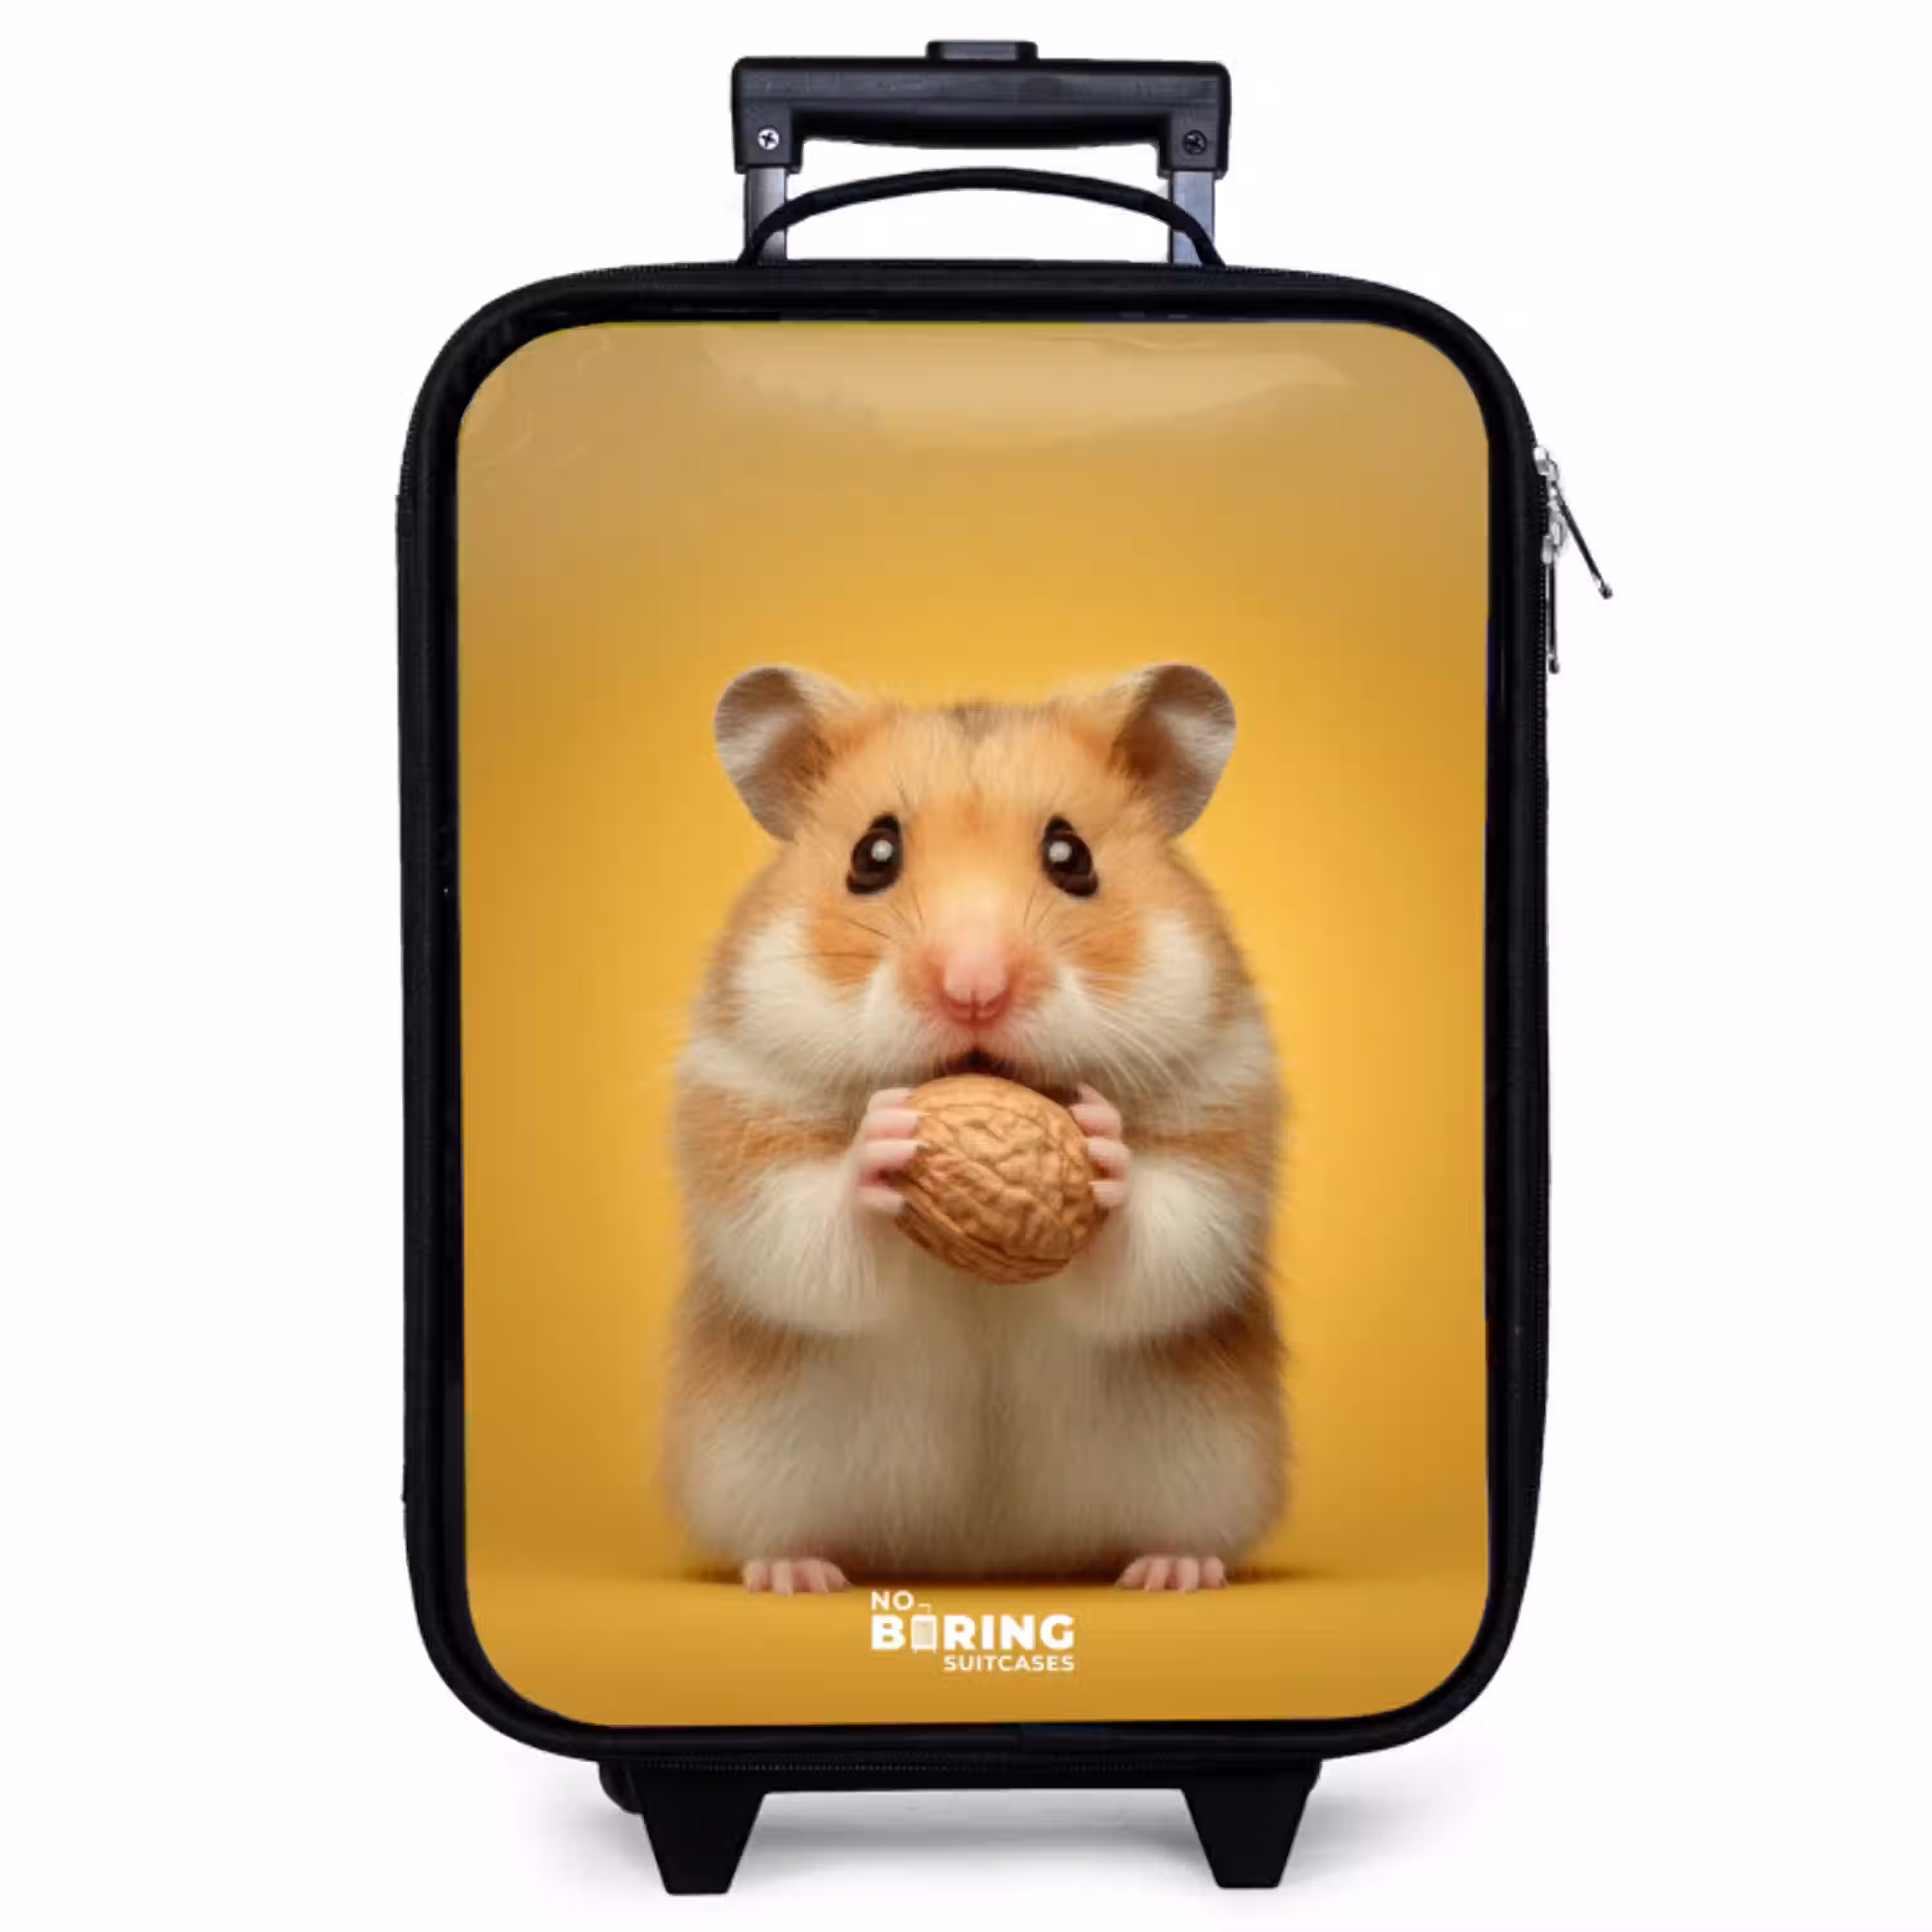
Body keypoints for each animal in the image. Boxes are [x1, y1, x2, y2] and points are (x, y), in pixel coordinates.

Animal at [664, 663, 1284, 1594]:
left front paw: (1104, 1146)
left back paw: (1172, 1571)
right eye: (871, 855)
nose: (975, 988)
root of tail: (981, 1557)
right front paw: (882, 1142)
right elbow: (804, 1238)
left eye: (1073, 858)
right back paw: (797, 1574)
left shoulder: (1224, 1111)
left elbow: (1167, 1243)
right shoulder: (741, 1116)